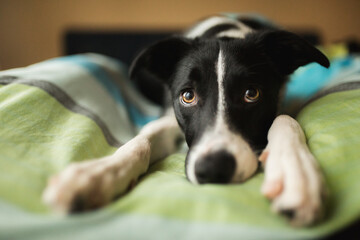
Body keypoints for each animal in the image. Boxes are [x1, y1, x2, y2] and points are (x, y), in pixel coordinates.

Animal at [42, 14, 330, 227]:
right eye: (188, 96)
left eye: (252, 94)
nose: (214, 169)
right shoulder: (169, 119)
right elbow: (142, 138)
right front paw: (94, 175)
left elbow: (284, 118)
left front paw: (296, 174)